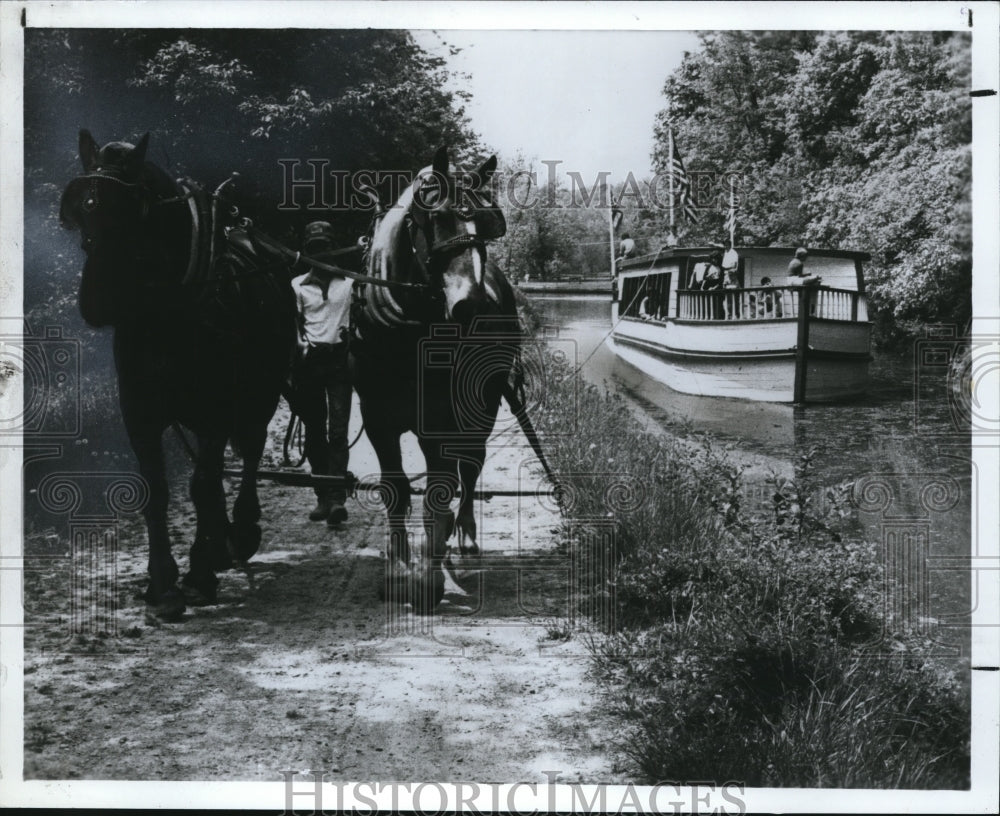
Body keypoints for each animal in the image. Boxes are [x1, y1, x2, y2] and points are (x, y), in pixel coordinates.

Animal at [61, 131, 296, 620]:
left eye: (128, 208)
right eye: (81, 208)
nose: (95, 299)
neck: (165, 312)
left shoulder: (217, 410)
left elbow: (202, 484)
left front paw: (199, 574)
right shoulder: (140, 412)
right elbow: (158, 491)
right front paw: (164, 582)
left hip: (259, 392)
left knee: (249, 450)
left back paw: (239, 531)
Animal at [352, 147, 520, 608]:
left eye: (487, 222)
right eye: (436, 216)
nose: (473, 307)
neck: (406, 331)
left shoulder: (440, 420)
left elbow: (439, 491)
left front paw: (428, 576)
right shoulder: (377, 418)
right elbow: (395, 489)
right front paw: (397, 570)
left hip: (483, 402)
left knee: (471, 463)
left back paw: (461, 538)